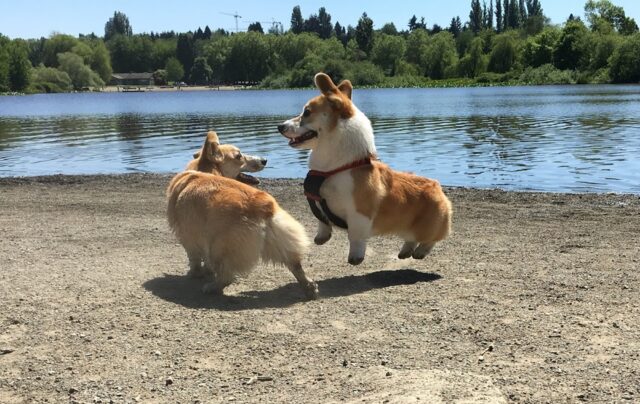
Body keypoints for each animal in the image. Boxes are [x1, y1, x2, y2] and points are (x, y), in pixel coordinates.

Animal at [166, 131, 318, 298]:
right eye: (238, 156)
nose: (264, 160)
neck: (204, 170)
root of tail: (264, 205)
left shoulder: (188, 236)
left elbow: (194, 258)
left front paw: (195, 273)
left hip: (219, 246)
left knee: (227, 276)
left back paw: (212, 287)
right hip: (280, 240)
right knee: (295, 265)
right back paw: (310, 287)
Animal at [278, 73, 452, 266]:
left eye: (307, 112)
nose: (280, 126)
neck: (335, 168)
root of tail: (438, 188)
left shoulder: (359, 215)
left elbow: (355, 237)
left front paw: (355, 258)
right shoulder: (317, 203)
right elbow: (322, 220)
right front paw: (321, 237)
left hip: (429, 228)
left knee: (431, 240)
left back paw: (420, 252)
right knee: (411, 239)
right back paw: (405, 252)